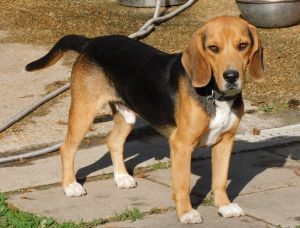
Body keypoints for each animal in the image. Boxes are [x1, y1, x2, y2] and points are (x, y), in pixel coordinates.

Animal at [26, 16, 264, 224]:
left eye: (243, 45)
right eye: (213, 48)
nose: (231, 76)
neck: (214, 94)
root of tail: (91, 42)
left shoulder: (225, 141)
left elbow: (221, 180)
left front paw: (224, 206)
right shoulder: (181, 144)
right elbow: (183, 183)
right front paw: (186, 213)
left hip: (126, 115)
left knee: (113, 141)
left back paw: (121, 177)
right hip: (84, 111)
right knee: (66, 148)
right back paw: (70, 186)